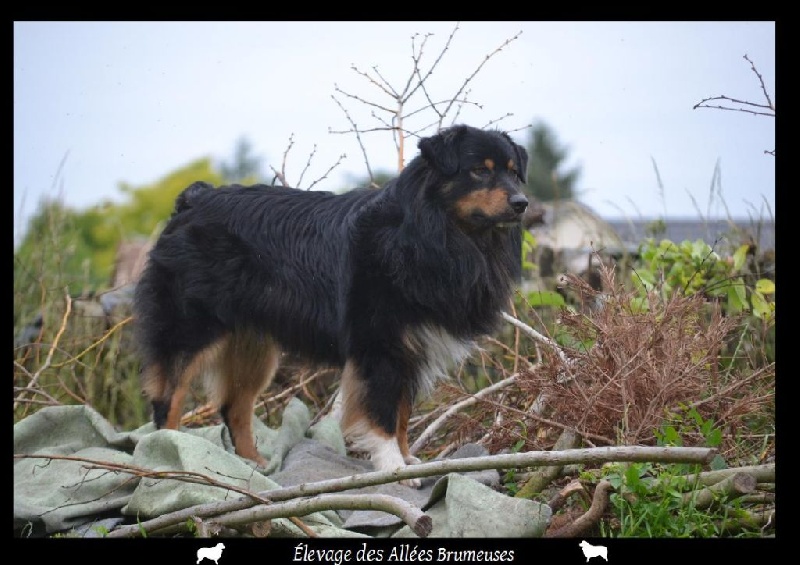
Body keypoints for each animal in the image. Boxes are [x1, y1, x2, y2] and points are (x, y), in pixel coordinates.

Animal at [134, 124, 528, 484]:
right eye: (479, 170)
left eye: (513, 171)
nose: (522, 203)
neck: (430, 233)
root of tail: (194, 199)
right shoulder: (380, 347)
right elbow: (384, 414)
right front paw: (393, 467)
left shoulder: (409, 350)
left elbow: (402, 413)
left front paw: (407, 460)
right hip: (191, 330)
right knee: (168, 401)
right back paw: (170, 463)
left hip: (253, 345)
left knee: (235, 409)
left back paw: (258, 470)